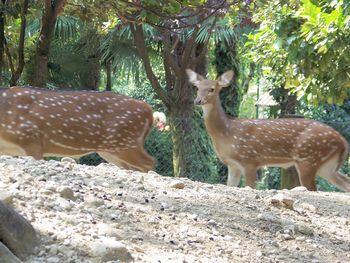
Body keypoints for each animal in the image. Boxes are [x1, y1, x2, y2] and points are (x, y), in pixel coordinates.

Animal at [187, 68, 350, 192]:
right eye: (197, 88)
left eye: (212, 89)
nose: (197, 101)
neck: (227, 133)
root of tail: (343, 141)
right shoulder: (233, 165)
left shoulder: (250, 160)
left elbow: (250, 186)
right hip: (326, 166)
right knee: (345, 183)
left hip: (308, 159)